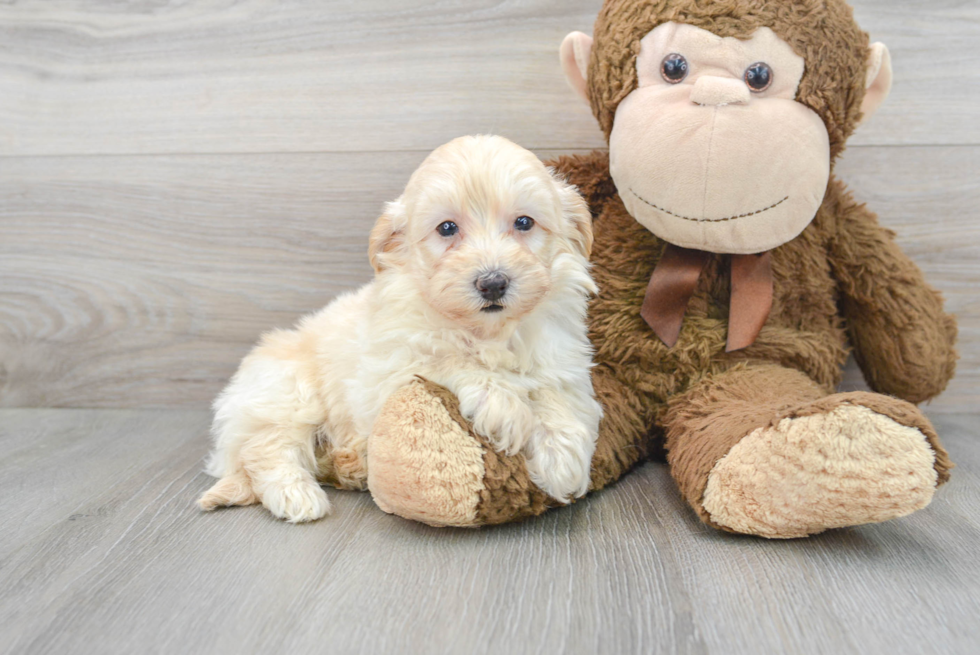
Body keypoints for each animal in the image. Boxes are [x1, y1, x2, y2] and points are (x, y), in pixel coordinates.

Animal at [197, 136, 596, 524]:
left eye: (524, 223)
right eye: (447, 228)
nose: (493, 283)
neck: (487, 331)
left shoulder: (558, 357)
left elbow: (553, 392)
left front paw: (563, 456)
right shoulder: (391, 369)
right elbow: (450, 360)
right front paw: (505, 407)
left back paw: (349, 463)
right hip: (287, 392)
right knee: (266, 447)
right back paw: (297, 495)